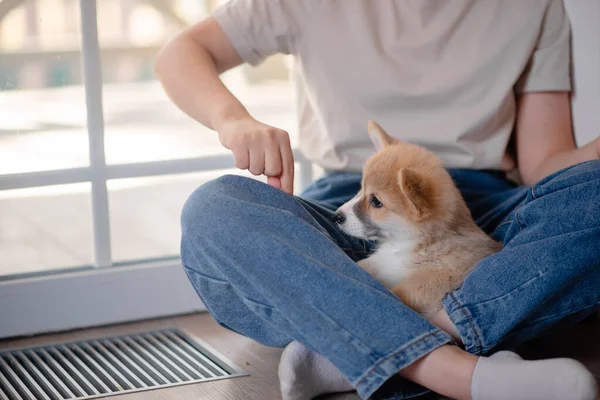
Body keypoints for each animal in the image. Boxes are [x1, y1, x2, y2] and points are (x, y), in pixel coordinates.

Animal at [332, 121, 502, 316]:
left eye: (376, 202)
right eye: (361, 188)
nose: (336, 216)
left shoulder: (427, 284)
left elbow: (397, 294)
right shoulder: (380, 264)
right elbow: (362, 266)